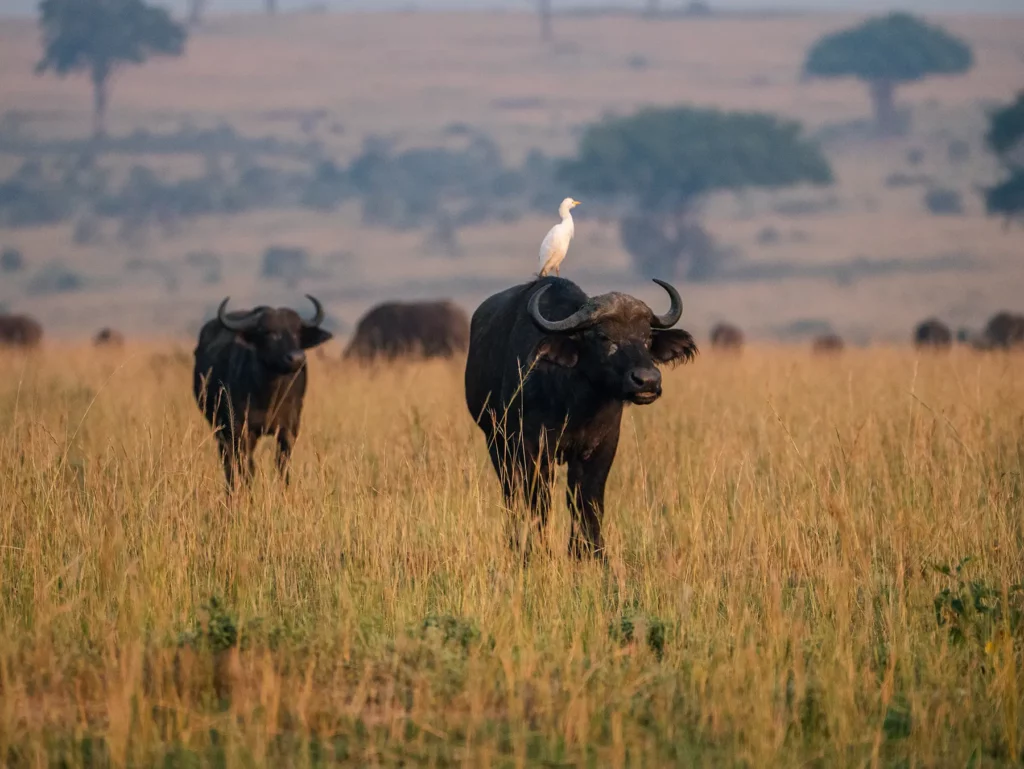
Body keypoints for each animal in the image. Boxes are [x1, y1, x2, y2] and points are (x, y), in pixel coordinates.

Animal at [192, 295, 332, 489]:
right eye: (269, 332)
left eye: (296, 332)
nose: (296, 358)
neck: (270, 395)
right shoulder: (240, 430)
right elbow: (247, 467)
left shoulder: (289, 429)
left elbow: (282, 465)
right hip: (219, 428)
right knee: (229, 463)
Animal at [465, 277, 697, 559]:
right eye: (604, 337)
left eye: (646, 337)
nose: (647, 381)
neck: (575, 404)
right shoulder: (532, 449)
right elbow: (539, 501)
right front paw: (540, 551)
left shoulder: (600, 447)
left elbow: (587, 501)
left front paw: (590, 554)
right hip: (496, 443)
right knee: (512, 493)